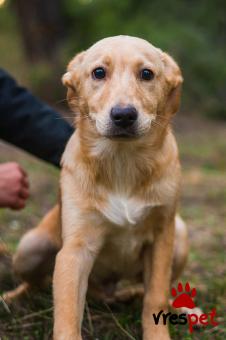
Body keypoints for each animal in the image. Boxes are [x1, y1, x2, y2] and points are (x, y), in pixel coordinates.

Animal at [6, 35, 189, 338]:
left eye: (147, 74)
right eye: (99, 72)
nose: (124, 115)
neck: (123, 162)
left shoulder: (162, 236)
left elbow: (156, 297)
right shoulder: (75, 251)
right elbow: (67, 314)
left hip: (180, 235)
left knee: (146, 291)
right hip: (30, 248)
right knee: (37, 283)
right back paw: (14, 297)